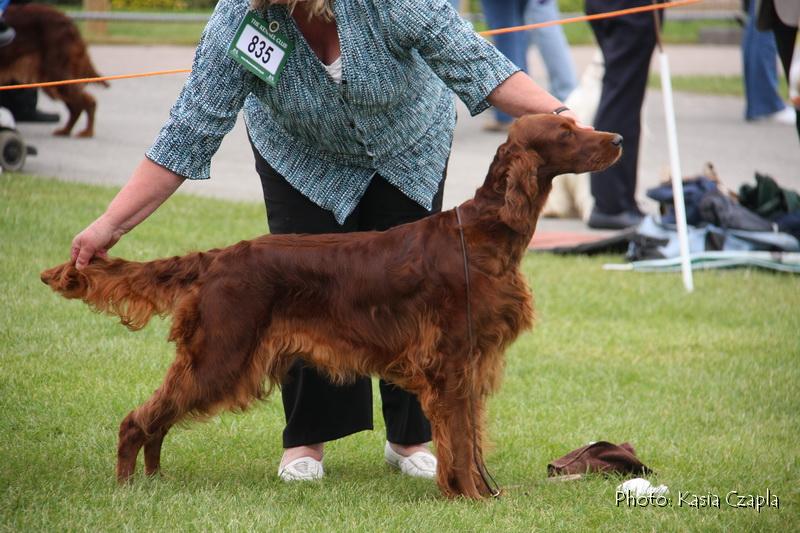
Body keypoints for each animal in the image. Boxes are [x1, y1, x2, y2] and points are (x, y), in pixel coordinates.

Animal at [0, 3, 107, 136]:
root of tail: (67, 20)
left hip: (56, 75)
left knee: (87, 102)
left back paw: (86, 132)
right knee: (77, 105)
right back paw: (66, 131)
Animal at [39, 114, 624, 496]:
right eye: (567, 133)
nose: (618, 137)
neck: (485, 233)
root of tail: (218, 258)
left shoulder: (471, 362)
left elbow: (469, 435)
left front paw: (477, 493)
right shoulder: (452, 362)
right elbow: (460, 439)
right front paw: (470, 498)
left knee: (157, 418)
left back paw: (156, 481)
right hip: (221, 355)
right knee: (138, 419)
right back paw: (128, 487)